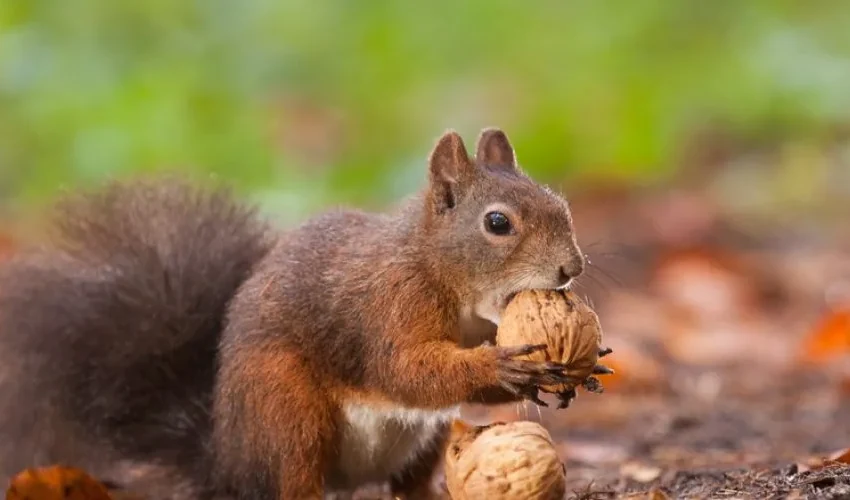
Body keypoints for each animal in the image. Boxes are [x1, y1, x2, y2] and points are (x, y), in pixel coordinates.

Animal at [0, 128, 587, 500]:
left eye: (560, 204)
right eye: (497, 223)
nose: (572, 268)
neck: (434, 265)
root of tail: (227, 458)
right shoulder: (389, 305)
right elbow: (405, 369)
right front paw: (503, 367)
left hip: (423, 440)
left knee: (409, 483)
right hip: (285, 410)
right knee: (293, 480)